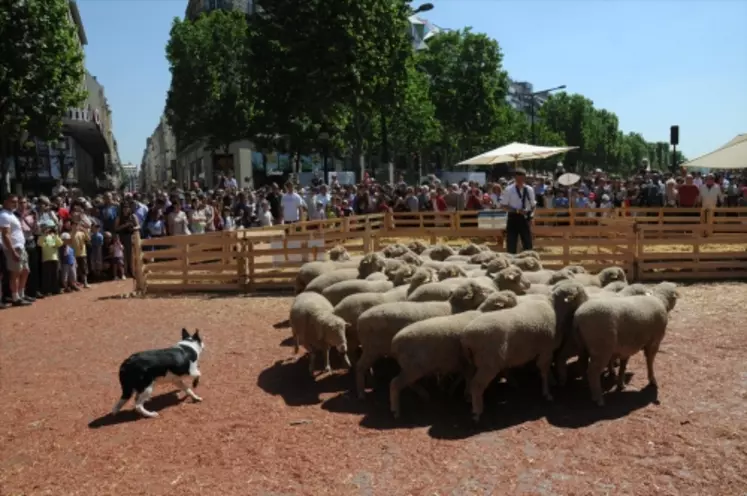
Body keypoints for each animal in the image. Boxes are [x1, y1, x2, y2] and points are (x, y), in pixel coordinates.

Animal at [356, 280, 496, 398]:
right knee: (361, 367)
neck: (456, 306)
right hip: (372, 349)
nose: (494, 291)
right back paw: (362, 392)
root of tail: (360, 320)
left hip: (372, 349)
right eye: (481, 290)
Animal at [386, 290, 520, 418]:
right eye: (512, 304)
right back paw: (395, 411)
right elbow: (470, 379)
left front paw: (455, 390)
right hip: (413, 367)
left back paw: (424, 395)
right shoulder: (470, 360)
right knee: (395, 383)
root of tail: (395, 342)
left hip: (412, 367)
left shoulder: (464, 361)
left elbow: (465, 377)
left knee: (409, 383)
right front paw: (468, 396)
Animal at [462, 280, 592, 420]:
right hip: (489, 363)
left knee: (469, 380)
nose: (589, 301)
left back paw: (471, 400)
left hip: (473, 363)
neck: (556, 309)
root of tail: (466, 337)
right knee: (477, 385)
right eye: (581, 293)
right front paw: (547, 393)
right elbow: (544, 371)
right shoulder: (546, 350)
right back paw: (477, 412)